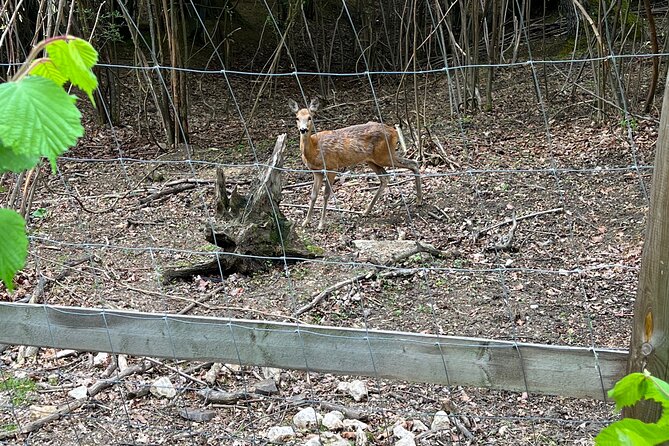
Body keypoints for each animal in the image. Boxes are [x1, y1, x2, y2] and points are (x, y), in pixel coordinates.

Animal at [288, 97, 422, 230]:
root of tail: (394, 131)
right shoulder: (316, 172)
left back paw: (419, 200)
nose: (303, 130)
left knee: (413, 163)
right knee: (385, 177)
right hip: (371, 159)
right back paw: (366, 211)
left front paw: (321, 224)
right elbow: (313, 195)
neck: (314, 150)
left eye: (310, 117)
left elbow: (326, 194)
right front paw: (305, 222)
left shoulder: (332, 167)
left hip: (384, 155)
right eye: (297, 118)